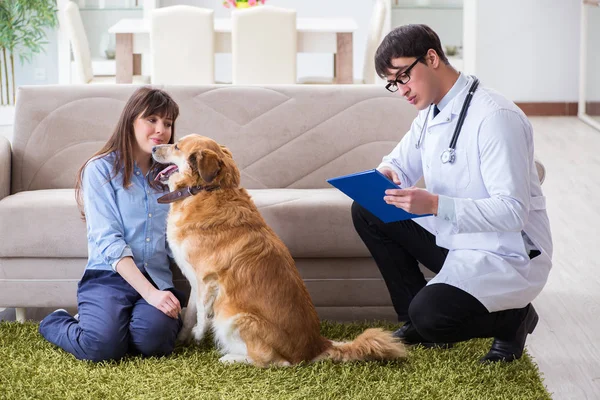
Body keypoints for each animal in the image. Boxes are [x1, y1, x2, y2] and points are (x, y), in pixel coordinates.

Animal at [151, 135, 408, 368]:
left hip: (237, 318)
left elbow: (202, 315)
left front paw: (197, 334)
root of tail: (317, 345)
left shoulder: (207, 281)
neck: (207, 190)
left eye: (176, 146)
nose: (153, 147)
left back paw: (232, 358)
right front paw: (182, 337)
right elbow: (190, 313)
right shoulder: (194, 280)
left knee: (274, 361)